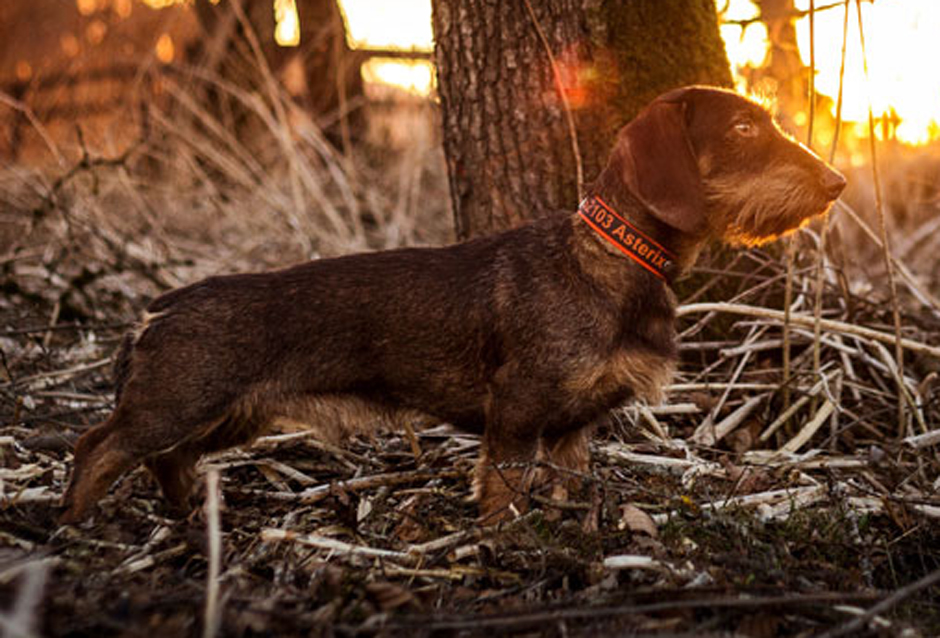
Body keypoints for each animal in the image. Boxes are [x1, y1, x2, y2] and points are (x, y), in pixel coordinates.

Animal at [62, 86, 848, 524]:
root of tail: (156, 310)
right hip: (179, 402)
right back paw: (72, 523)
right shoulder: (518, 410)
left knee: (167, 461)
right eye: (743, 130)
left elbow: (569, 480)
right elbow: (504, 487)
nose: (837, 182)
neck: (612, 261)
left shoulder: (573, 426)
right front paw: (507, 543)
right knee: (97, 444)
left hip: (232, 414)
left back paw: (186, 514)